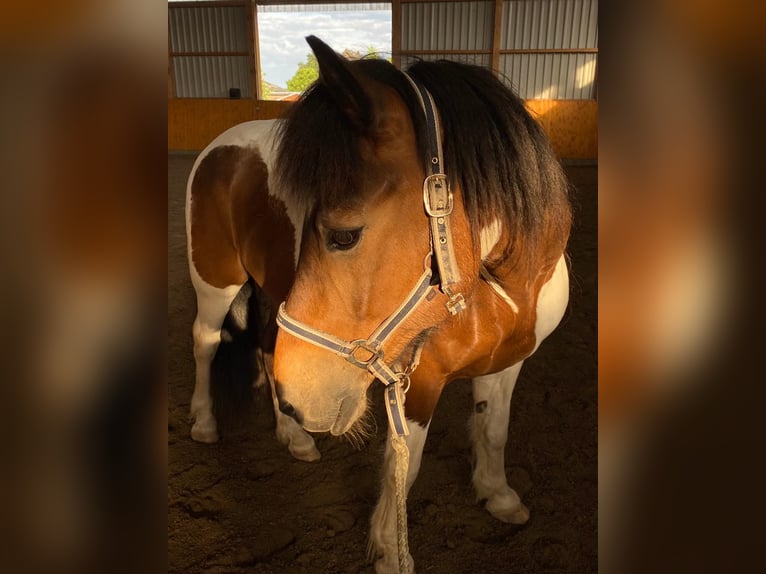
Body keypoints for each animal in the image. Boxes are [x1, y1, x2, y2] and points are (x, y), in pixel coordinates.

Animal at [186, 35, 568, 572]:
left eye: (343, 235)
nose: (305, 399)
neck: (505, 285)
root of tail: (225, 144)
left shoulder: (509, 361)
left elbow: (494, 429)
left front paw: (498, 495)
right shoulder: (417, 381)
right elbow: (402, 467)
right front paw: (391, 551)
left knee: (265, 344)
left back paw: (293, 436)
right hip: (214, 280)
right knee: (204, 341)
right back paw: (204, 422)